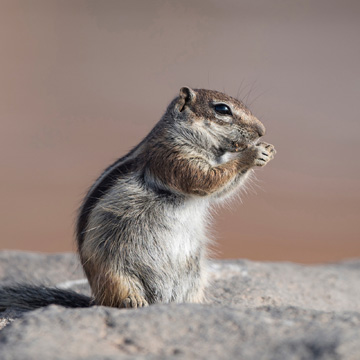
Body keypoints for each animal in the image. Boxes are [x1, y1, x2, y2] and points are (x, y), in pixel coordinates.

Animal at [0, 86, 276, 310]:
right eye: (222, 109)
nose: (262, 131)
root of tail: (94, 300)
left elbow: (219, 190)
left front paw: (268, 151)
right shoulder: (170, 157)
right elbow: (204, 179)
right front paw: (252, 154)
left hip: (195, 276)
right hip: (113, 271)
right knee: (117, 295)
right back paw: (133, 301)